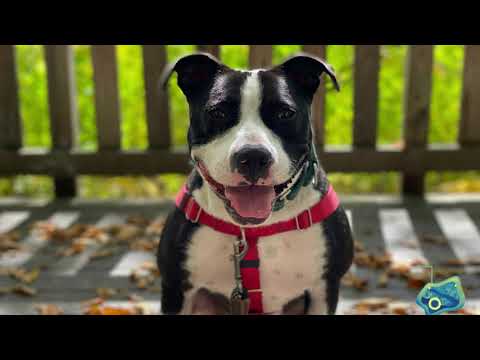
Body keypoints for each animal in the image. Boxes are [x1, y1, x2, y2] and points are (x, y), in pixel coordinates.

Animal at [157, 52, 352, 316]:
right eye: (217, 113)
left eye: (285, 114)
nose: (253, 157)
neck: (252, 232)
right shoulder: (176, 290)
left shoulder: (324, 290)